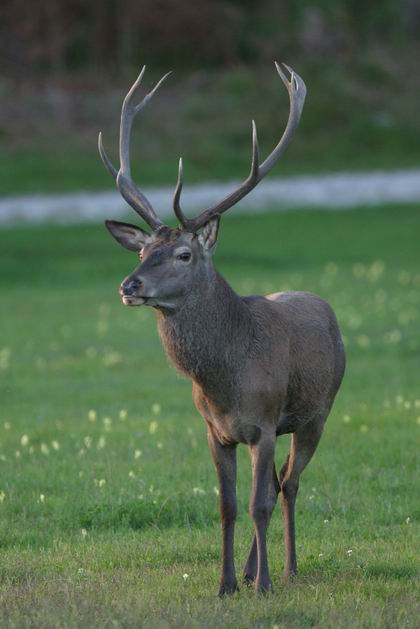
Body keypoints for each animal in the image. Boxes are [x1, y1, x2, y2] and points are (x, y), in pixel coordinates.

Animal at [98, 63, 344, 592]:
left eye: (184, 254)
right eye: (143, 250)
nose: (129, 284)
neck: (226, 383)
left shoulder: (265, 423)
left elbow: (259, 503)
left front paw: (265, 584)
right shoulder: (216, 431)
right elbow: (229, 506)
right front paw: (227, 583)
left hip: (317, 413)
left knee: (289, 484)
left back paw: (287, 568)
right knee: (276, 482)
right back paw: (253, 570)